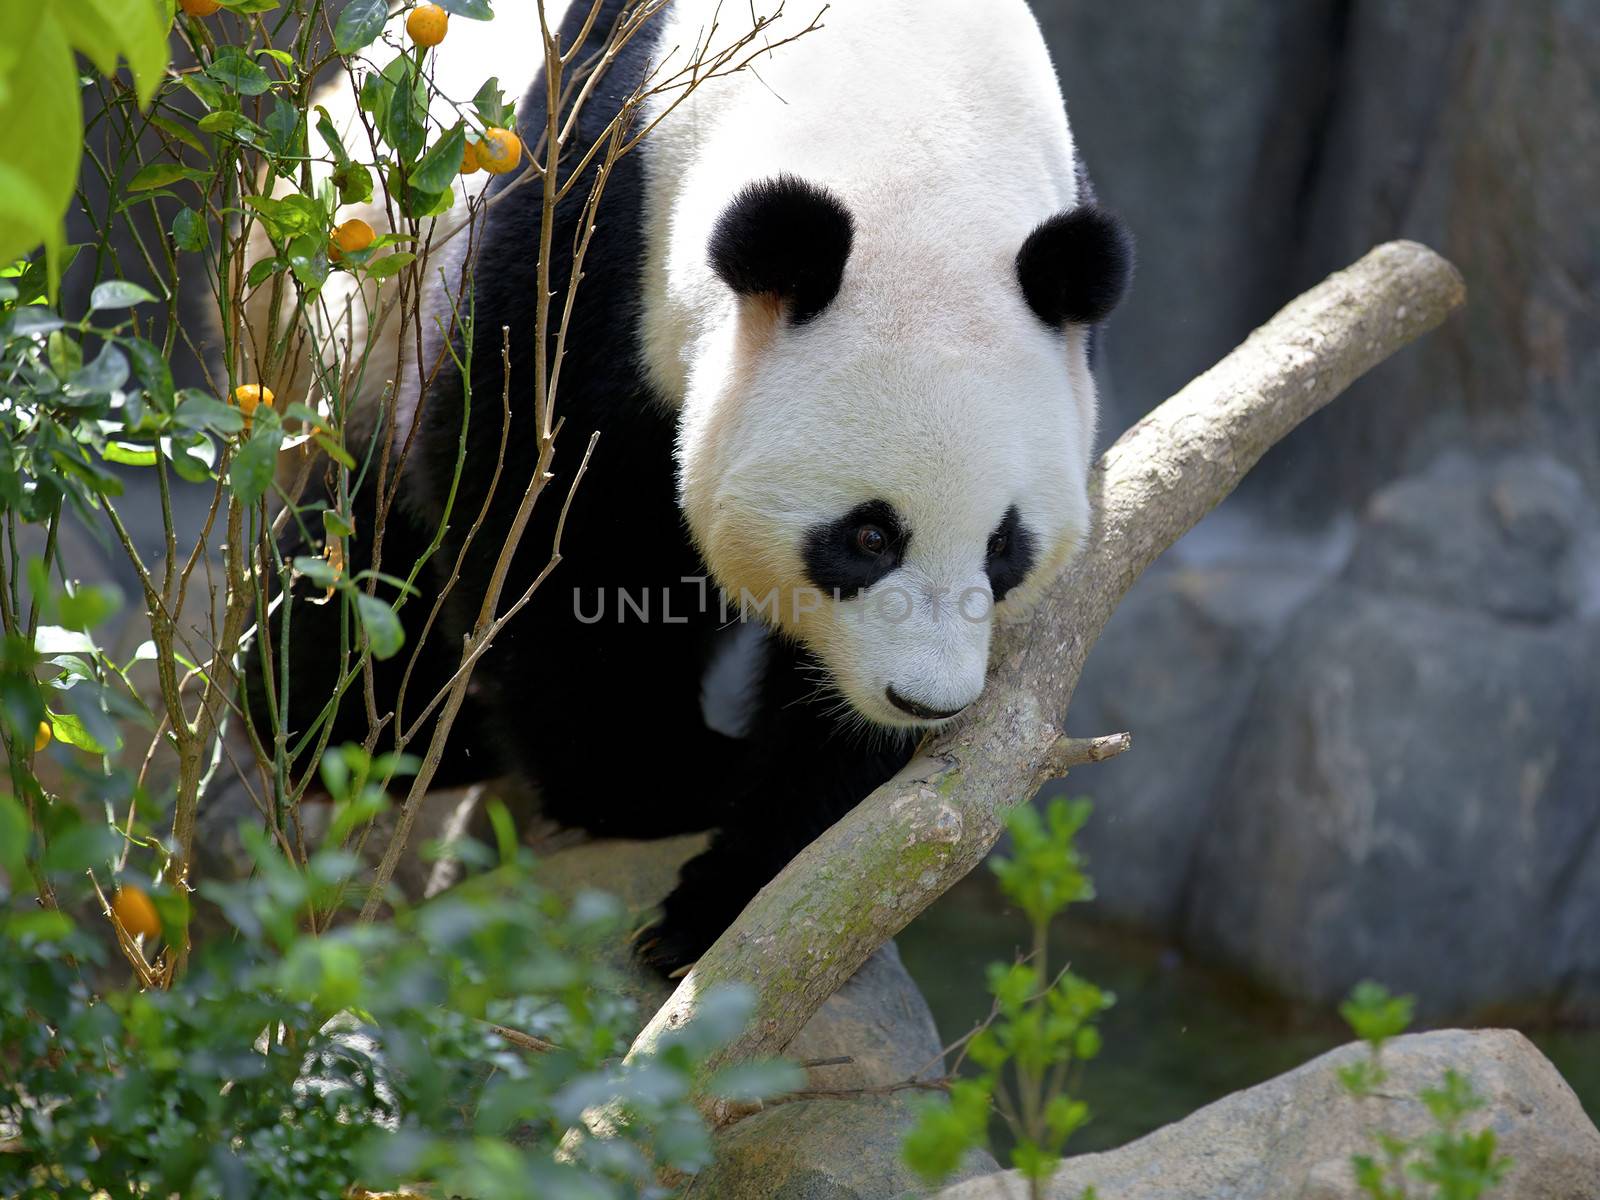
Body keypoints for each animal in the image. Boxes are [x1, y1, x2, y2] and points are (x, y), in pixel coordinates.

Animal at [243, 0, 1132, 979]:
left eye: (1004, 546)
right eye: (867, 538)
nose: (923, 701)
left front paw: (736, 891)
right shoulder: (595, 213)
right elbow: (542, 512)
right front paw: (660, 785)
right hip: (345, 313)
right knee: (361, 542)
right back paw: (361, 730)